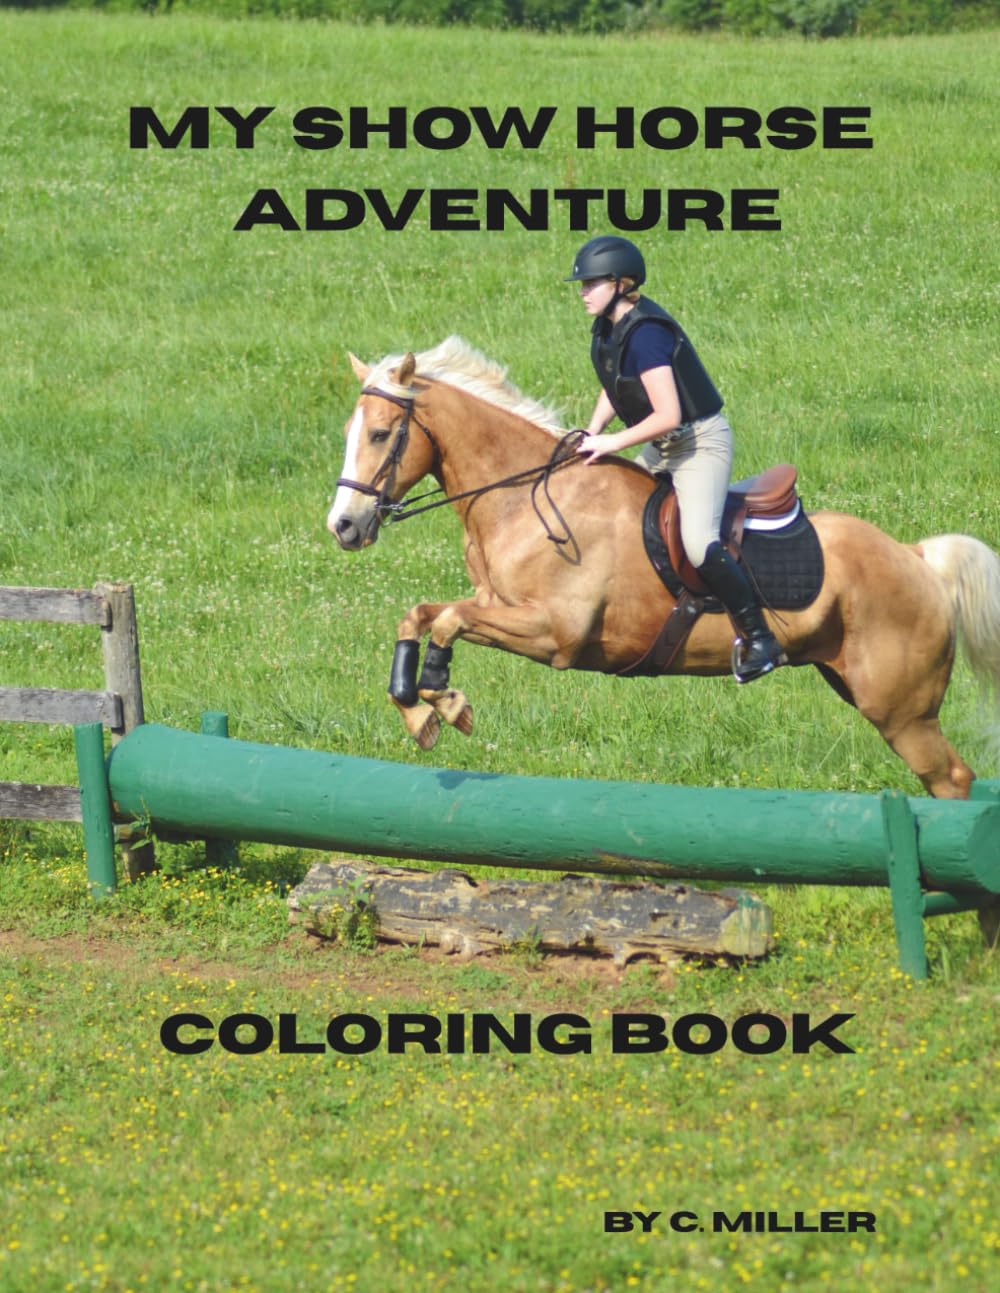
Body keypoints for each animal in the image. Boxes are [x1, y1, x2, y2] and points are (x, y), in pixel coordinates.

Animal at [327, 336, 1000, 800]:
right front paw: (421, 709)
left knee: (952, 778)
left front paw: (445, 698)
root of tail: (916, 557)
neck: (525, 495)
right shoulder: (496, 605)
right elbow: (420, 615)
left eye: (382, 434)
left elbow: (447, 622)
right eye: (349, 431)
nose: (344, 526)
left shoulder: (554, 633)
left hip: (902, 710)